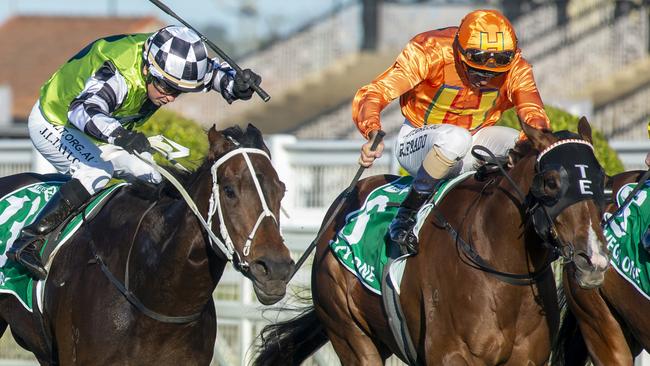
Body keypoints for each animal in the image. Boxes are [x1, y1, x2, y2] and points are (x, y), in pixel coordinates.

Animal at [253, 118, 608, 364]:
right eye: (550, 182)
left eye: (601, 177)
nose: (594, 259)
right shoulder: (449, 355)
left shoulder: (528, 358)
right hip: (350, 335)